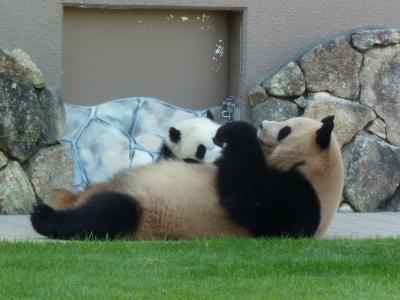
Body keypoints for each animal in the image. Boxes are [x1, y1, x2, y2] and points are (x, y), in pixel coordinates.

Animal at [30, 116, 344, 240]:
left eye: (286, 130)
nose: (263, 124)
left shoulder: (298, 203)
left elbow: (246, 198)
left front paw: (236, 131)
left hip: (142, 207)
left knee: (105, 214)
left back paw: (44, 216)